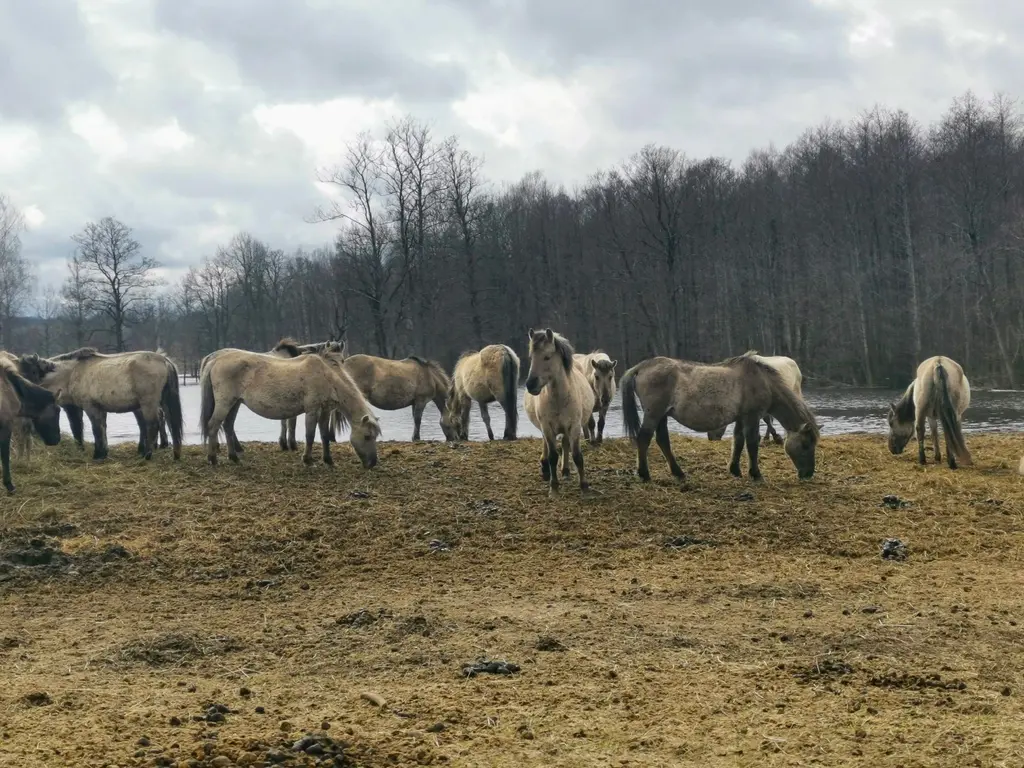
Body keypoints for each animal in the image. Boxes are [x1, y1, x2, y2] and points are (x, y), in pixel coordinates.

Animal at [18, 350, 185, 462]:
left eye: (32, 371)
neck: (72, 373)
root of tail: (164, 360)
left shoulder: (89, 407)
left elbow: (94, 429)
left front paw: (98, 454)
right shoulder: (97, 408)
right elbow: (99, 429)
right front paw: (102, 452)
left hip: (148, 404)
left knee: (152, 425)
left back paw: (147, 454)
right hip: (162, 402)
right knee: (170, 424)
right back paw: (175, 454)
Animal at [198, 348, 380, 468]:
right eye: (367, 436)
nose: (372, 463)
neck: (327, 376)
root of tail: (215, 360)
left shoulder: (325, 411)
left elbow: (324, 436)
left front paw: (328, 460)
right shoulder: (312, 410)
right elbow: (310, 435)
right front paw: (308, 460)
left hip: (234, 403)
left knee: (228, 427)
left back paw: (234, 457)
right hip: (225, 403)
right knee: (213, 426)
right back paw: (212, 459)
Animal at [524, 327, 598, 495]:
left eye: (547, 357)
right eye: (531, 357)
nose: (530, 384)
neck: (559, 398)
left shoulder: (574, 426)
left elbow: (577, 456)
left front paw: (584, 487)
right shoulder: (547, 427)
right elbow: (552, 455)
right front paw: (554, 488)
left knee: (565, 444)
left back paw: (565, 471)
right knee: (548, 445)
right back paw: (546, 469)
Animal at [618, 354, 819, 483]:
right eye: (805, 445)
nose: (808, 474)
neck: (763, 381)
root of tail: (640, 367)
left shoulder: (741, 417)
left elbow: (738, 441)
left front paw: (735, 470)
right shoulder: (752, 417)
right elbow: (752, 444)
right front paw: (756, 474)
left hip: (662, 416)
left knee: (663, 441)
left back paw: (678, 473)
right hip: (654, 414)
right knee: (644, 439)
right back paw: (644, 474)